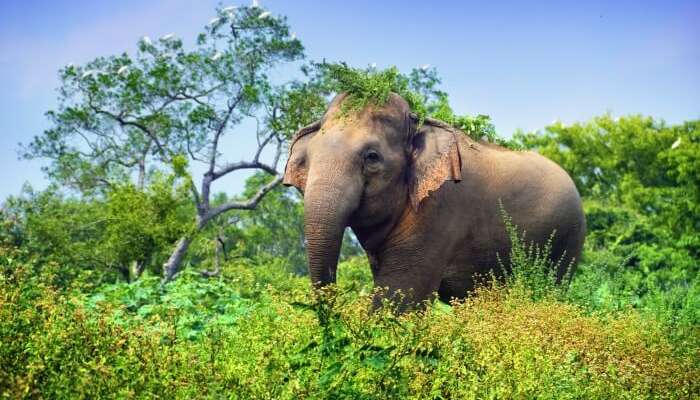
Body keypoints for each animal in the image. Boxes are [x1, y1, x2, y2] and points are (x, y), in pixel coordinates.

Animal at [282, 92, 584, 308]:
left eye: (372, 157)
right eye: (308, 159)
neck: (419, 124)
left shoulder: (439, 211)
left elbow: (400, 297)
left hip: (568, 239)